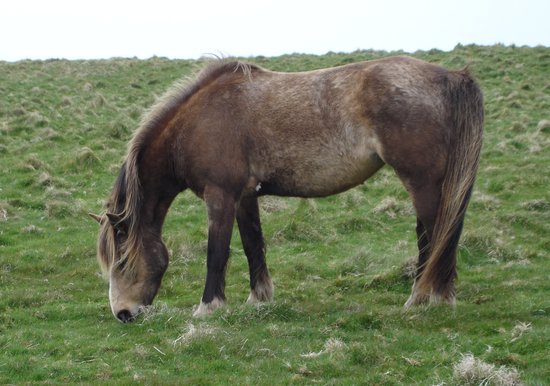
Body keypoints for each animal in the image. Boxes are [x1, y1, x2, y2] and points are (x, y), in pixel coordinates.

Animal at [90, 56, 484, 322]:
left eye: (122, 262)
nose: (123, 314)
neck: (199, 122)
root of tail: (450, 77)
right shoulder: (244, 197)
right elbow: (252, 245)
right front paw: (259, 298)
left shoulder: (220, 196)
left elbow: (217, 252)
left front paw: (208, 307)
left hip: (422, 182)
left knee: (434, 236)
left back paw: (425, 298)